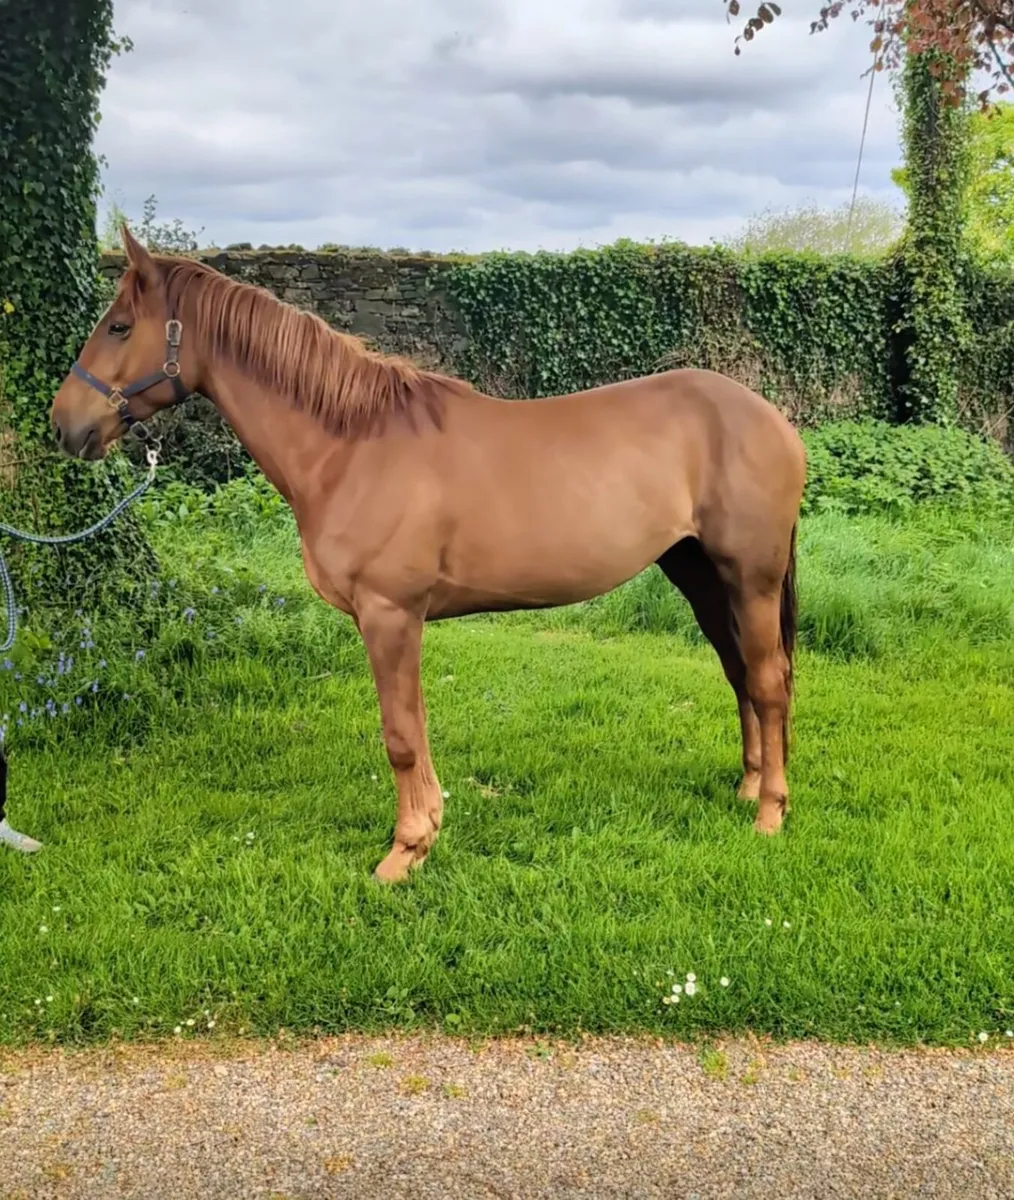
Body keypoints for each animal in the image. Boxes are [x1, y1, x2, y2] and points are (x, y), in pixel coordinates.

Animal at [50, 225, 806, 883]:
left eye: (119, 326)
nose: (64, 424)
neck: (352, 446)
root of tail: (771, 419)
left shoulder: (390, 614)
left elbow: (401, 735)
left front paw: (405, 852)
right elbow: (412, 731)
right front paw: (425, 833)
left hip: (751, 577)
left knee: (769, 681)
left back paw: (770, 814)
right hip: (699, 573)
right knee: (739, 671)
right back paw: (748, 786)